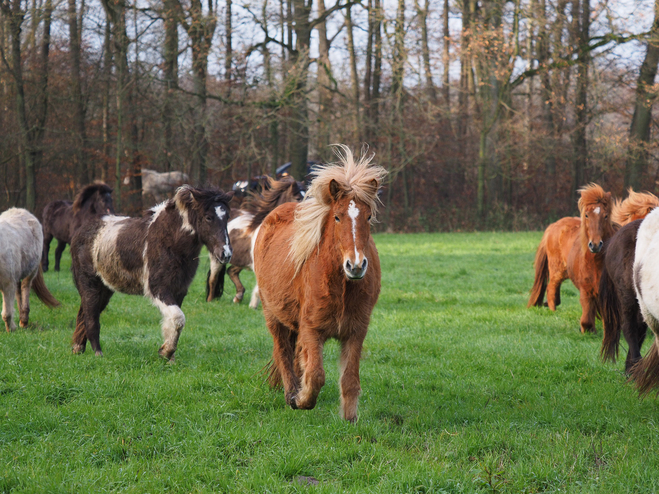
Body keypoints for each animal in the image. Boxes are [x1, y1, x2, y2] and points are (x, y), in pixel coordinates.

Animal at [70, 185, 232, 358]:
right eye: (208, 217)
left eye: (227, 217)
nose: (226, 254)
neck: (171, 241)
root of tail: (80, 232)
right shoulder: (158, 288)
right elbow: (178, 318)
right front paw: (166, 352)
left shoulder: (179, 290)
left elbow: (175, 320)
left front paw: (168, 354)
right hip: (90, 284)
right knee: (91, 318)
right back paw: (98, 353)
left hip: (105, 289)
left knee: (84, 314)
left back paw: (78, 348)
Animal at [206, 176, 304, 306]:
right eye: (298, 198)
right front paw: (253, 305)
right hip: (216, 259)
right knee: (213, 279)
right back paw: (210, 301)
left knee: (231, 271)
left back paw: (238, 297)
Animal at [253, 146, 386, 420]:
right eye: (336, 217)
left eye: (368, 217)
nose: (356, 265)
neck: (341, 287)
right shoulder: (312, 331)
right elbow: (315, 376)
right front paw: (300, 399)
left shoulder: (355, 332)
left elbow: (350, 380)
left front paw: (349, 420)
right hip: (273, 316)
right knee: (283, 352)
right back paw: (290, 393)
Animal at [528, 183, 616, 334]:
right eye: (586, 215)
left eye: (605, 216)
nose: (595, 244)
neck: (596, 262)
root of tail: (553, 226)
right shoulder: (586, 290)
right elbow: (587, 319)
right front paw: (588, 330)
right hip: (558, 271)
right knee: (551, 288)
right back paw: (553, 312)